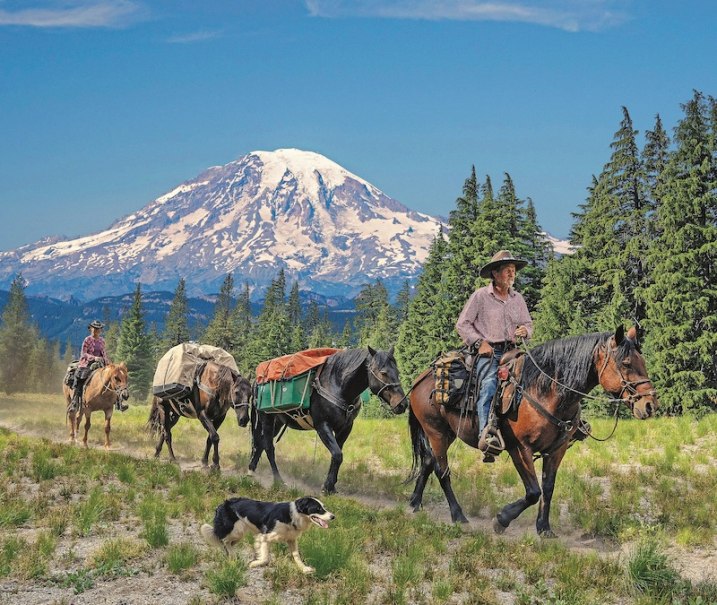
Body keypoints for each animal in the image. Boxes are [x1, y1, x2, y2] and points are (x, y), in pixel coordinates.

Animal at [200, 494, 334, 572]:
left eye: (324, 507)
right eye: (318, 509)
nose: (333, 516)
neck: (293, 515)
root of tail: (222, 504)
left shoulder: (292, 539)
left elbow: (297, 556)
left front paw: (304, 568)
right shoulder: (264, 536)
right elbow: (265, 558)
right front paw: (254, 564)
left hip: (238, 533)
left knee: (228, 543)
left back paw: (233, 557)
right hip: (236, 530)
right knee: (224, 540)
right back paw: (233, 558)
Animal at [250, 346, 408, 494]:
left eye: (398, 372)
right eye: (383, 372)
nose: (402, 404)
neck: (338, 386)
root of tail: (257, 382)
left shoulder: (345, 428)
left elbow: (336, 455)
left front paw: (330, 486)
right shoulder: (323, 426)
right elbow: (337, 455)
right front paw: (327, 487)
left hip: (278, 422)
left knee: (260, 444)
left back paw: (251, 470)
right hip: (267, 419)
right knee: (268, 447)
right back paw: (278, 480)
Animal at [406, 326, 656, 532]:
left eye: (642, 361)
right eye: (626, 363)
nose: (650, 405)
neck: (546, 391)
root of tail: (422, 378)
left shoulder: (556, 450)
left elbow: (548, 487)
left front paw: (544, 528)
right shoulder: (520, 448)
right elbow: (534, 491)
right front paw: (502, 519)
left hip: (447, 433)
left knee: (428, 462)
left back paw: (414, 503)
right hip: (436, 432)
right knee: (442, 471)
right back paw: (458, 516)